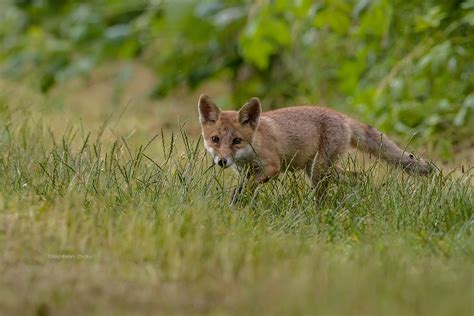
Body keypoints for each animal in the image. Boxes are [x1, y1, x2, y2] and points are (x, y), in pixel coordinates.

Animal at [198, 95, 436, 200]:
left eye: (237, 141)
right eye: (215, 139)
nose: (222, 161)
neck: (253, 147)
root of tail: (342, 117)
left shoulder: (272, 167)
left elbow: (245, 187)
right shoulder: (246, 172)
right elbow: (243, 189)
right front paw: (238, 205)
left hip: (318, 170)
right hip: (318, 169)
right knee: (359, 177)